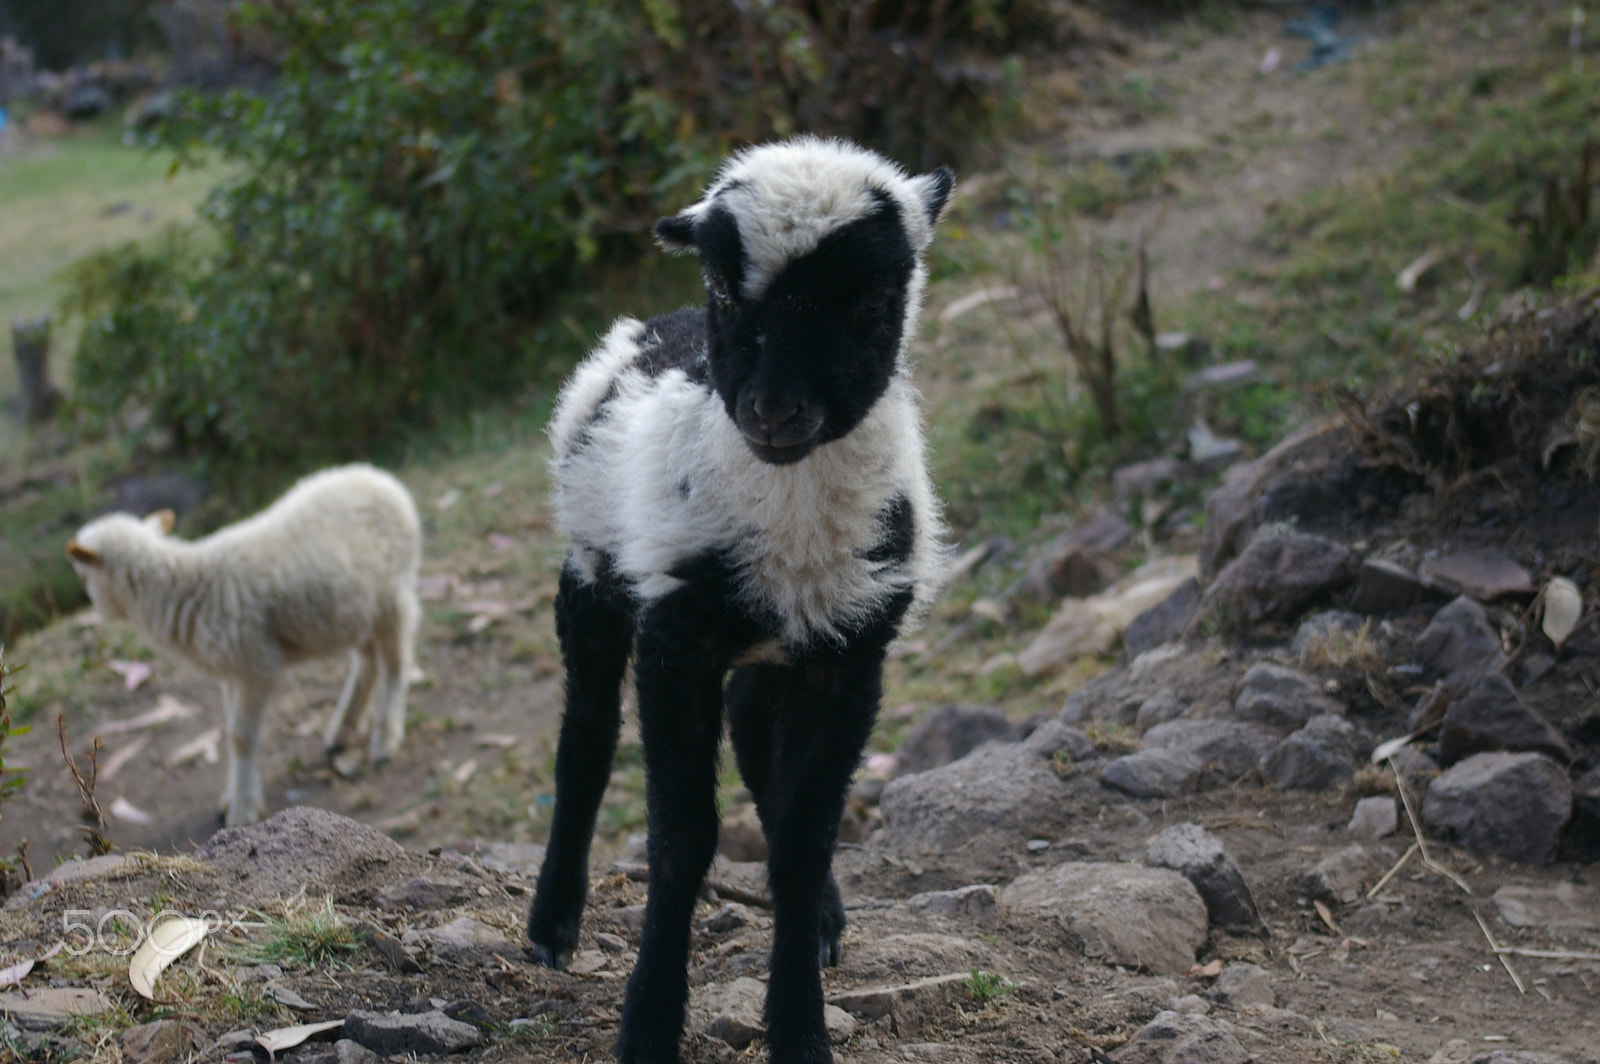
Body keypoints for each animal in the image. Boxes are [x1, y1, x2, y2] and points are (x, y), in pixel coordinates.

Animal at [66, 463, 422, 827]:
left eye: (83, 576)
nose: (97, 610)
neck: (186, 585)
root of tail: (382, 479)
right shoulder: (232, 671)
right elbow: (231, 733)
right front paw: (230, 799)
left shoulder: (256, 665)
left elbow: (240, 739)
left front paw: (241, 810)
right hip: (354, 611)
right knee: (367, 662)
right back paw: (342, 731)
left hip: (392, 597)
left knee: (396, 663)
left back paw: (385, 738)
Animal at [526, 137, 954, 1064]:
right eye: (725, 292)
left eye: (874, 299)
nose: (772, 410)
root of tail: (658, 325)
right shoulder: (674, 640)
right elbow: (681, 842)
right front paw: (649, 1025)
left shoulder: (852, 655)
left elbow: (804, 839)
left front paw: (798, 1025)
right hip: (590, 577)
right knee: (585, 738)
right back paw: (552, 921)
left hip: (772, 653)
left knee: (758, 741)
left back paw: (823, 920)